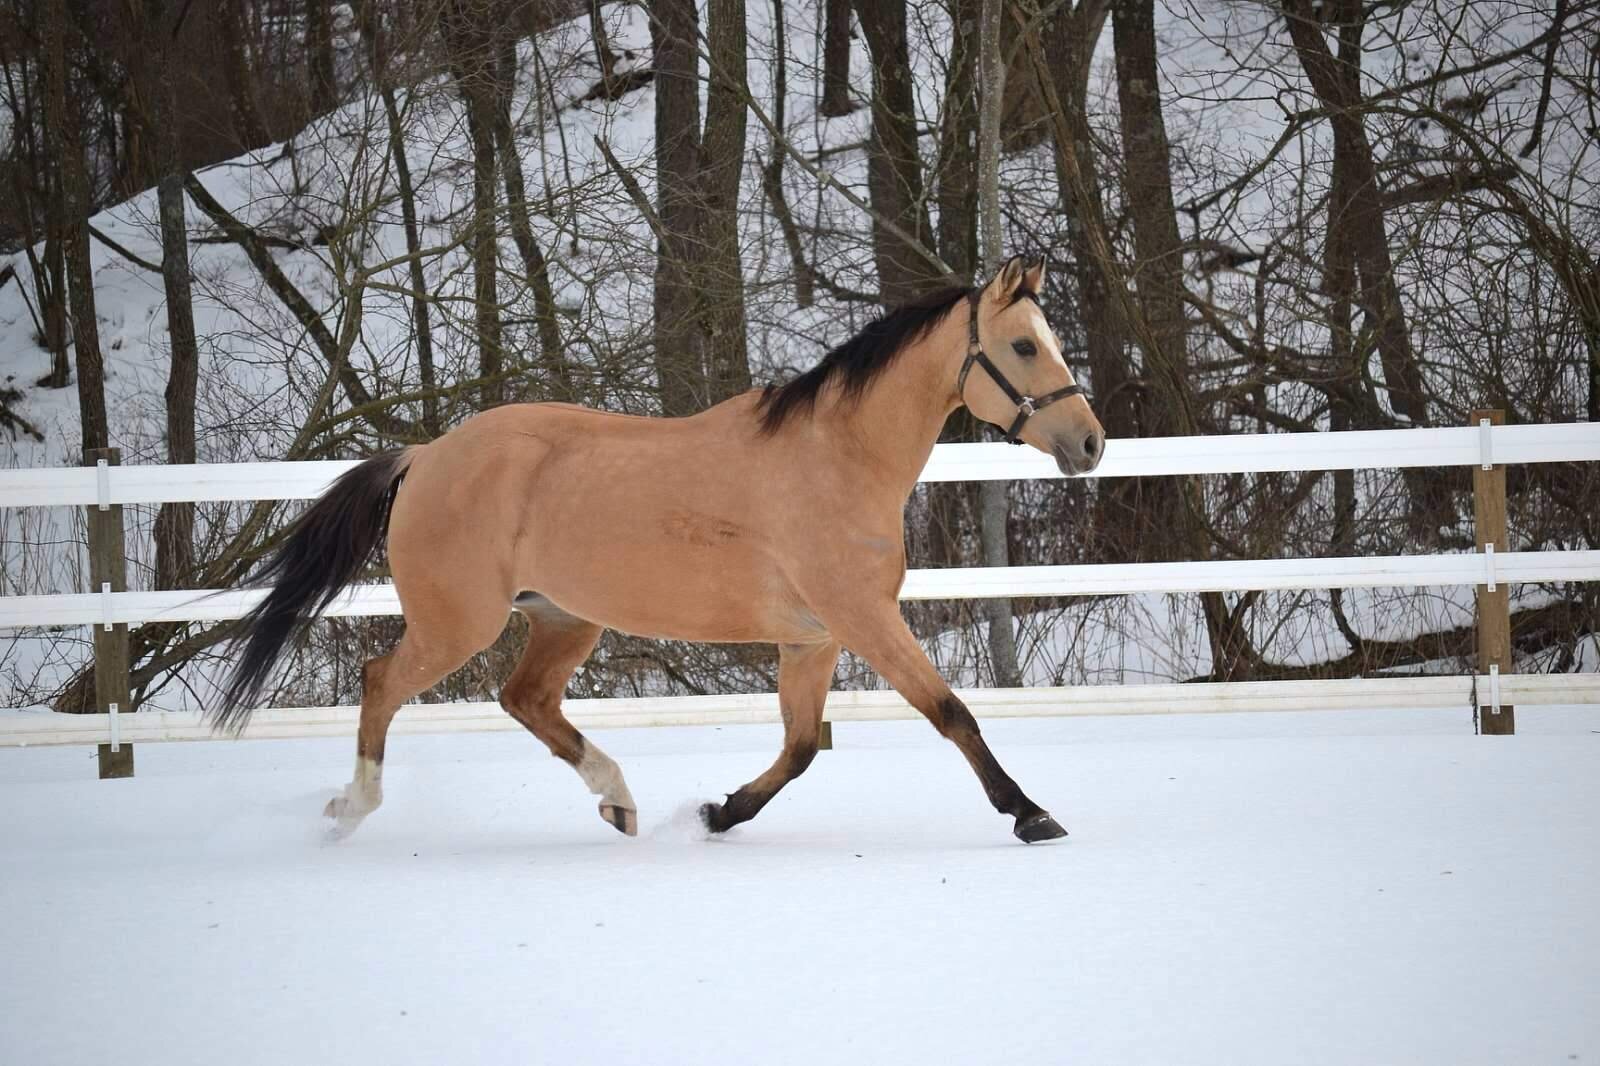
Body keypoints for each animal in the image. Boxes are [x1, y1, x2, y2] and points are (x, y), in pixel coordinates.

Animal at [214, 256, 1106, 844]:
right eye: (1024, 347)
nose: (1091, 443)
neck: (838, 456)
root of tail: (426, 455)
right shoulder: (863, 618)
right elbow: (951, 712)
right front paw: (1032, 814)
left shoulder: (812, 638)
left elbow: (800, 747)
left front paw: (720, 811)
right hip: (456, 624)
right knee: (381, 683)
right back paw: (349, 810)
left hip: (563, 618)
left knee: (526, 700)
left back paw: (618, 801)